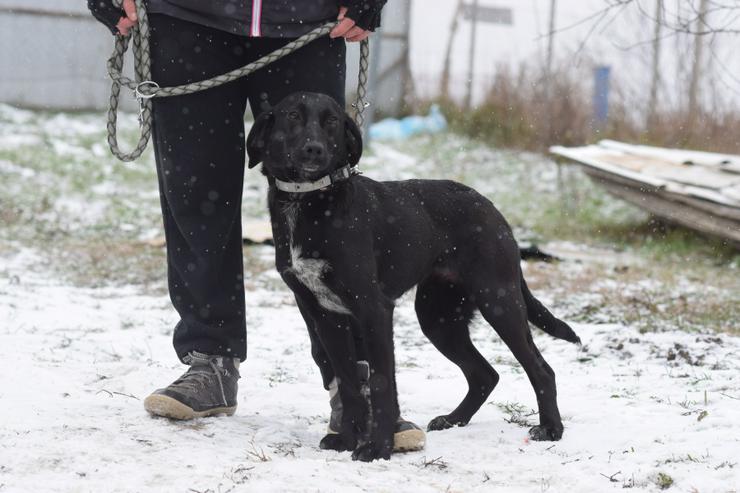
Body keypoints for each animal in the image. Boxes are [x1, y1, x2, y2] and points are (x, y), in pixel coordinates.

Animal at [249, 91, 584, 462]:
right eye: (293, 115)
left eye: (332, 121)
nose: (314, 149)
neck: (308, 198)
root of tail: (494, 211)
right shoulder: (325, 316)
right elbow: (349, 382)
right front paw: (347, 439)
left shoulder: (373, 309)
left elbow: (381, 382)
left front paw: (377, 447)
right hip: (437, 317)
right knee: (485, 374)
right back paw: (454, 419)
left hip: (499, 302)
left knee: (541, 369)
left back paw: (551, 429)